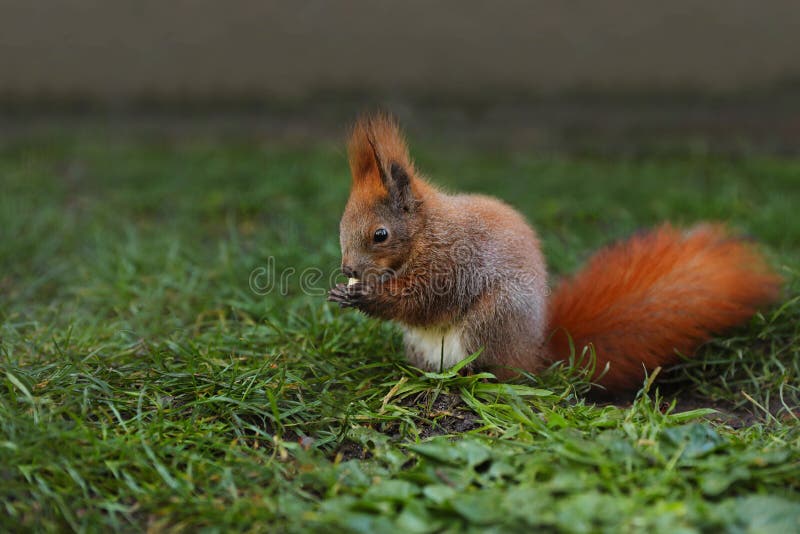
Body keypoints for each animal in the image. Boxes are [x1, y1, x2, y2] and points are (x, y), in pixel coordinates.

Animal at [327, 112, 782, 392]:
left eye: (380, 235)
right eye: (342, 225)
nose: (348, 267)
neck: (425, 231)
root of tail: (535, 354)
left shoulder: (453, 261)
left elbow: (423, 300)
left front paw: (364, 295)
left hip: (492, 321)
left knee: (498, 373)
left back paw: (469, 377)